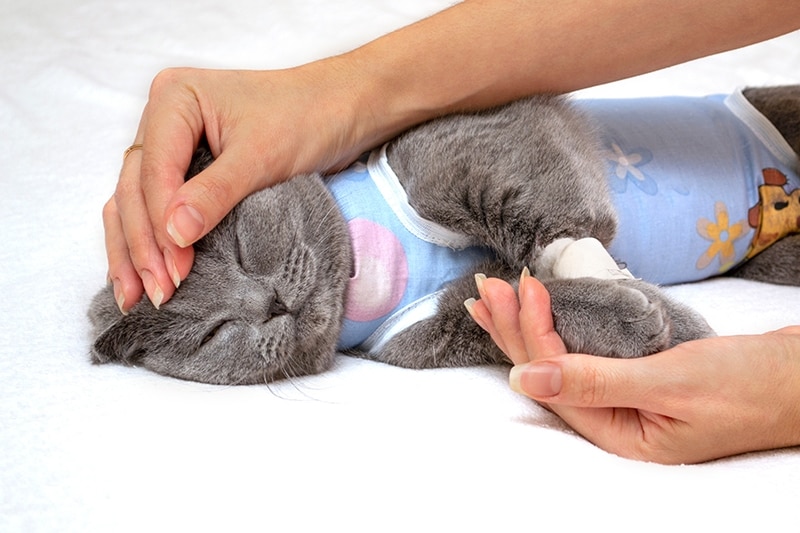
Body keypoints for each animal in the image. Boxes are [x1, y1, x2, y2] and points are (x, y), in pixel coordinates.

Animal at [89, 85, 800, 384]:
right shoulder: (424, 333)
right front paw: (648, 320)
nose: (269, 305)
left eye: (239, 244)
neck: (368, 268)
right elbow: (504, 304)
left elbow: (544, 219)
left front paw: (601, 269)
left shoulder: (471, 147)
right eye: (214, 334)